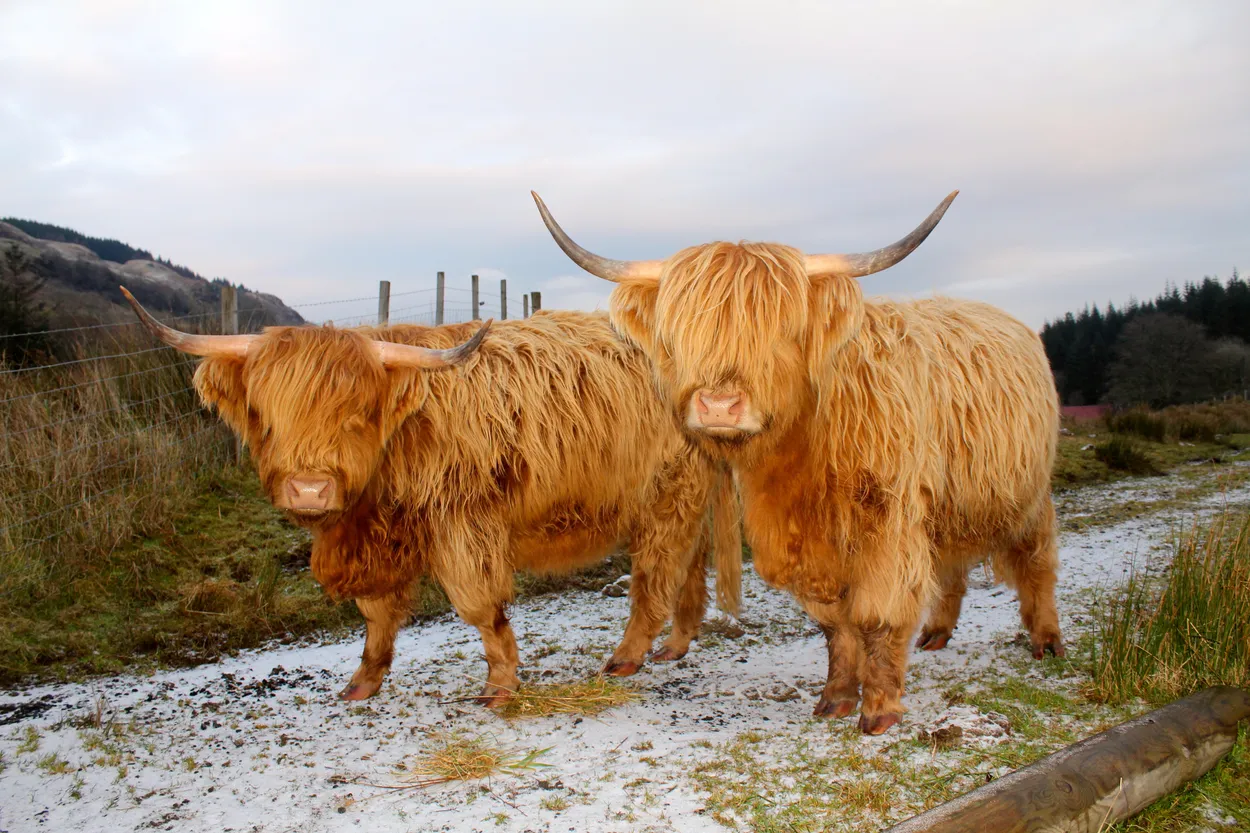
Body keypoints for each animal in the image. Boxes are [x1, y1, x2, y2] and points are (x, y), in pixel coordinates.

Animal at [120, 287, 741, 707]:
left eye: (356, 416)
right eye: (268, 418)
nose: (310, 489)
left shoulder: (463, 524)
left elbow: (480, 606)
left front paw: (500, 684)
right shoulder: (379, 539)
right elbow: (376, 613)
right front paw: (363, 682)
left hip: (668, 489)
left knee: (657, 570)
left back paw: (627, 658)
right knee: (690, 559)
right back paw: (677, 644)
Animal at [530, 191, 1064, 735]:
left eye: (781, 331)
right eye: (680, 334)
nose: (718, 406)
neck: (804, 450)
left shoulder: (888, 523)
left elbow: (879, 614)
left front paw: (880, 708)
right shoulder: (799, 537)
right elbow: (833, 622)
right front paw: (837, 696)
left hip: (1029, 494)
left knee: (1037, 560)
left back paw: (1046, 641)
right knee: (952, 565)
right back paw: (936, 633)